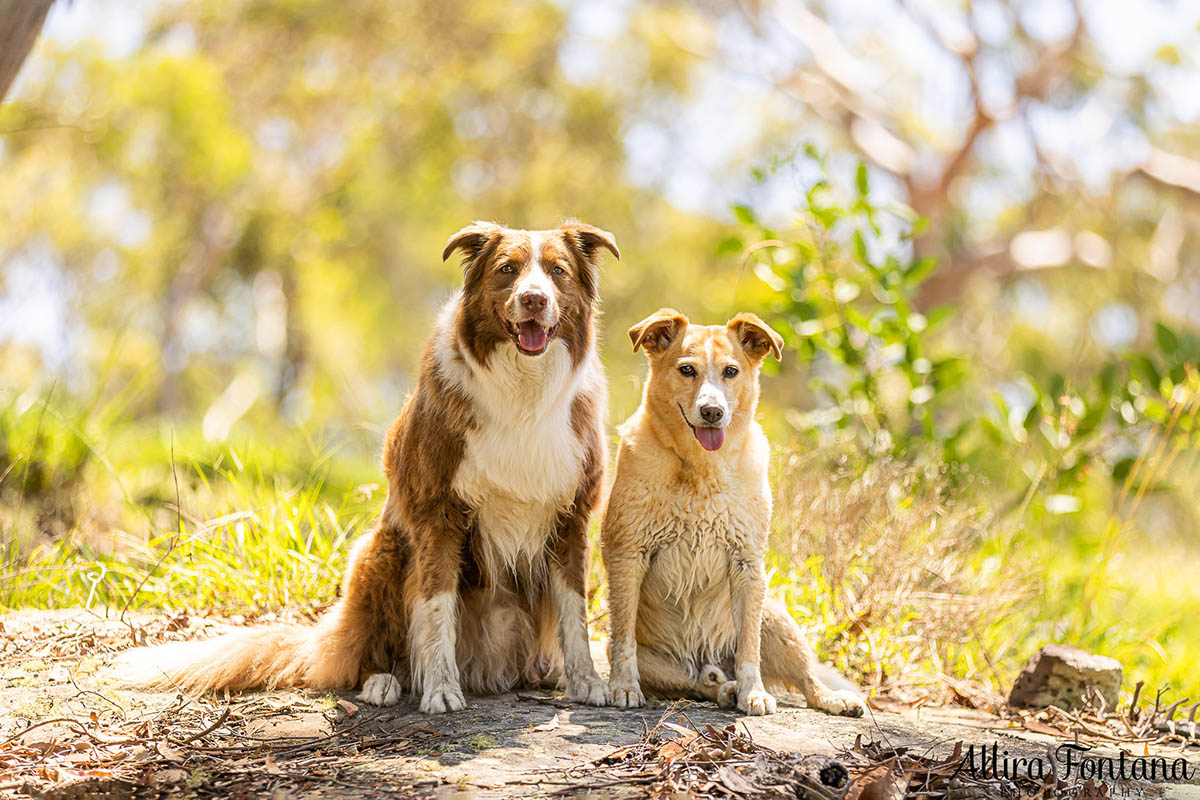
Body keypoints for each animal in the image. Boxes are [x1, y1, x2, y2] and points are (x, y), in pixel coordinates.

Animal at [114, 220, 619, 714]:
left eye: (557, 271)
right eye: (507, 269)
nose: (534, 299)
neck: (523, 391)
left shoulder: (571, 517)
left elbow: (574, 611)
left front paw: (588, 682)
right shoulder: (437, 515)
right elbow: (437, 607)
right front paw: (440, 689)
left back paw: (547, 672)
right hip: (380, 553)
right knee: (372, 655)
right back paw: (384, 682)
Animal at [600, 309, 864, 714]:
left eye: (731, 371)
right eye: (687, 369)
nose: (713, 412)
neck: (699, 468)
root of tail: (708, 657)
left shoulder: (747, 563)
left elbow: (748, 650)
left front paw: (753, 693)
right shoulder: (628, 554)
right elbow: (624, 637)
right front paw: (624, 687)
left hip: (776, 618)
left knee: (805, 680)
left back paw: (831, 699)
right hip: (661, 663)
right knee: (697, 682)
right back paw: (723, 689)